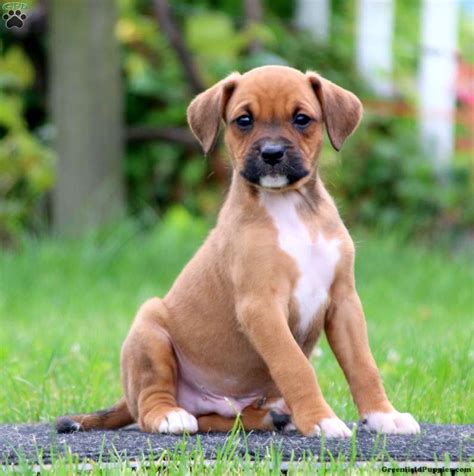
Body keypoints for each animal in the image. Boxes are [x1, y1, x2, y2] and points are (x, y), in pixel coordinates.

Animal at [57, 65, 420, 436]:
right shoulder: (261, 306)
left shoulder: (344, 302)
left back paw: (273, 417)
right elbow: (295, 366)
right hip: (149, 327)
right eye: (244, 120)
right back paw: (171, 416)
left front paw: (383, 415)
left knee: (216, 419)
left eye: (302, 119)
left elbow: (363, 365)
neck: (289, 207)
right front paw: (321, 419)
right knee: (150, 406)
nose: (272, 153)